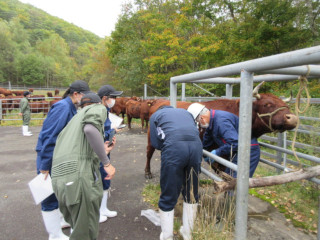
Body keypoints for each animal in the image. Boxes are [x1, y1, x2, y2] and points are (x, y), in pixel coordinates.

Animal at [143, 83, 298, 179]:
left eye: (284, 104)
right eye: (267, 104)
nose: (293, 118)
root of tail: (159, 102)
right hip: (151, 138)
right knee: (149, 154)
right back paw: (148, 172)